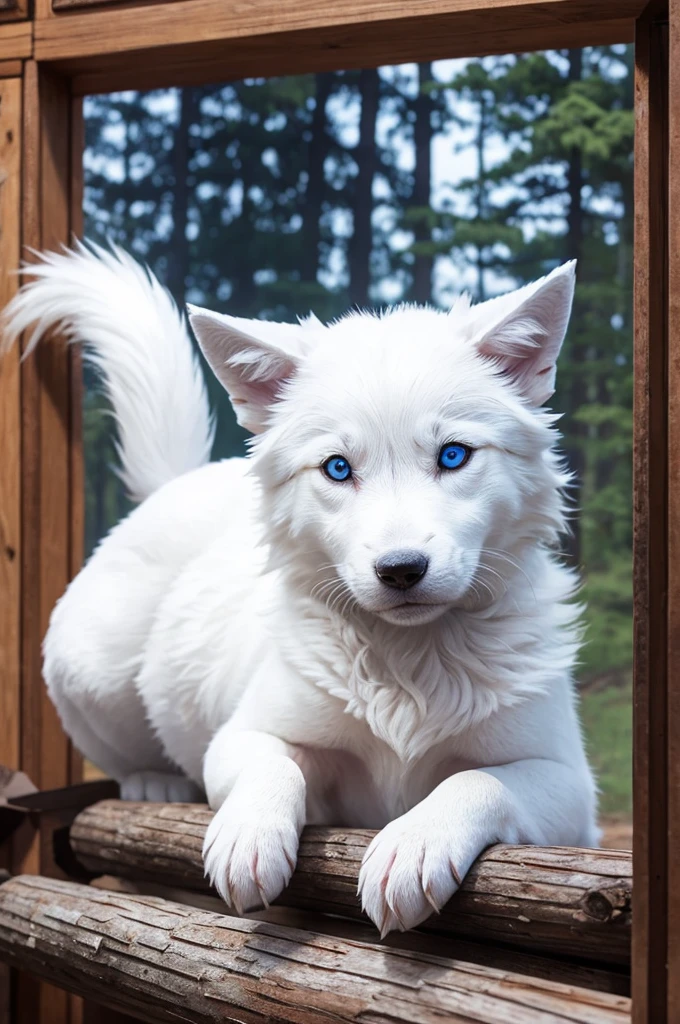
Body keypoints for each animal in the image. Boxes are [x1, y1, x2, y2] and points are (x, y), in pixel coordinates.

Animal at [2, 241, 593, 937]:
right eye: (338, 468)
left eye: (453, 455)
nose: (401, 570)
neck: (408, 664)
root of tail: (178, 482)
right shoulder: (247, 734)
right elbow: (272, 763)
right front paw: (249, 837)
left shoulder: (569, 789)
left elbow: (476, 780)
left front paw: (414, 842)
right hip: (91, 669)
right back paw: (154, 781)